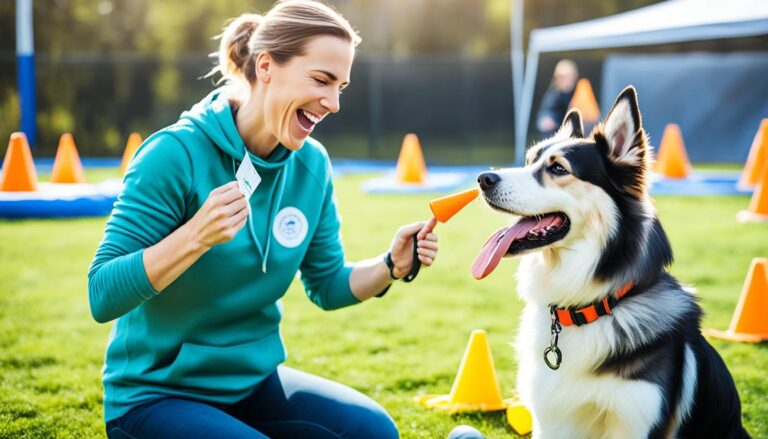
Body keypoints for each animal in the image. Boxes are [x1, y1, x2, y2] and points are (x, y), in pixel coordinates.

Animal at [474, 87, 752, 439]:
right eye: (528, 161)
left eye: (558, 168)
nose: (483, 178)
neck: (588, 308)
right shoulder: (551, 418)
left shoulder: (635, 420)